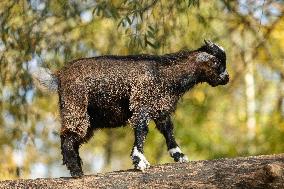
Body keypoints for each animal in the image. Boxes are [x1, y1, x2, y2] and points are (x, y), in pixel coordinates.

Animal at [32, 39, 229, 177]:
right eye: (218, 63)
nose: (227, 78)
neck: (165, 74)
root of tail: (59, 76)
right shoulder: (141, 103)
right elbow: (142, 130)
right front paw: (140, 162)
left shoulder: (160, 108)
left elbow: (168, 131)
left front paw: (180, 156)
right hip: (75, 106)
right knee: (67, 136)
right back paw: (77, 173)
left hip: (87, 117)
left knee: (73, 138)